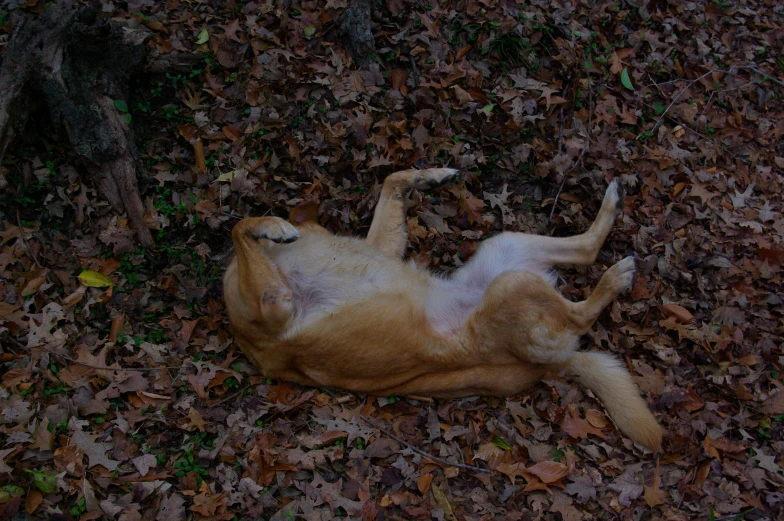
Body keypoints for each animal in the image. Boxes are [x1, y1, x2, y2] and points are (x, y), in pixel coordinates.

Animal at [224, 169, 664, 448]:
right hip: (510, 286)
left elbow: (391, 180)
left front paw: (430, 174)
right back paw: (617, 276)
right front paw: (273, 227)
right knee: (582, 311)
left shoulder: (380, 247)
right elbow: (240, 226)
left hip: (506, 249)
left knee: (586, 251)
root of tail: (549, 365)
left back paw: (613, 204)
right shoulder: (273, 306)